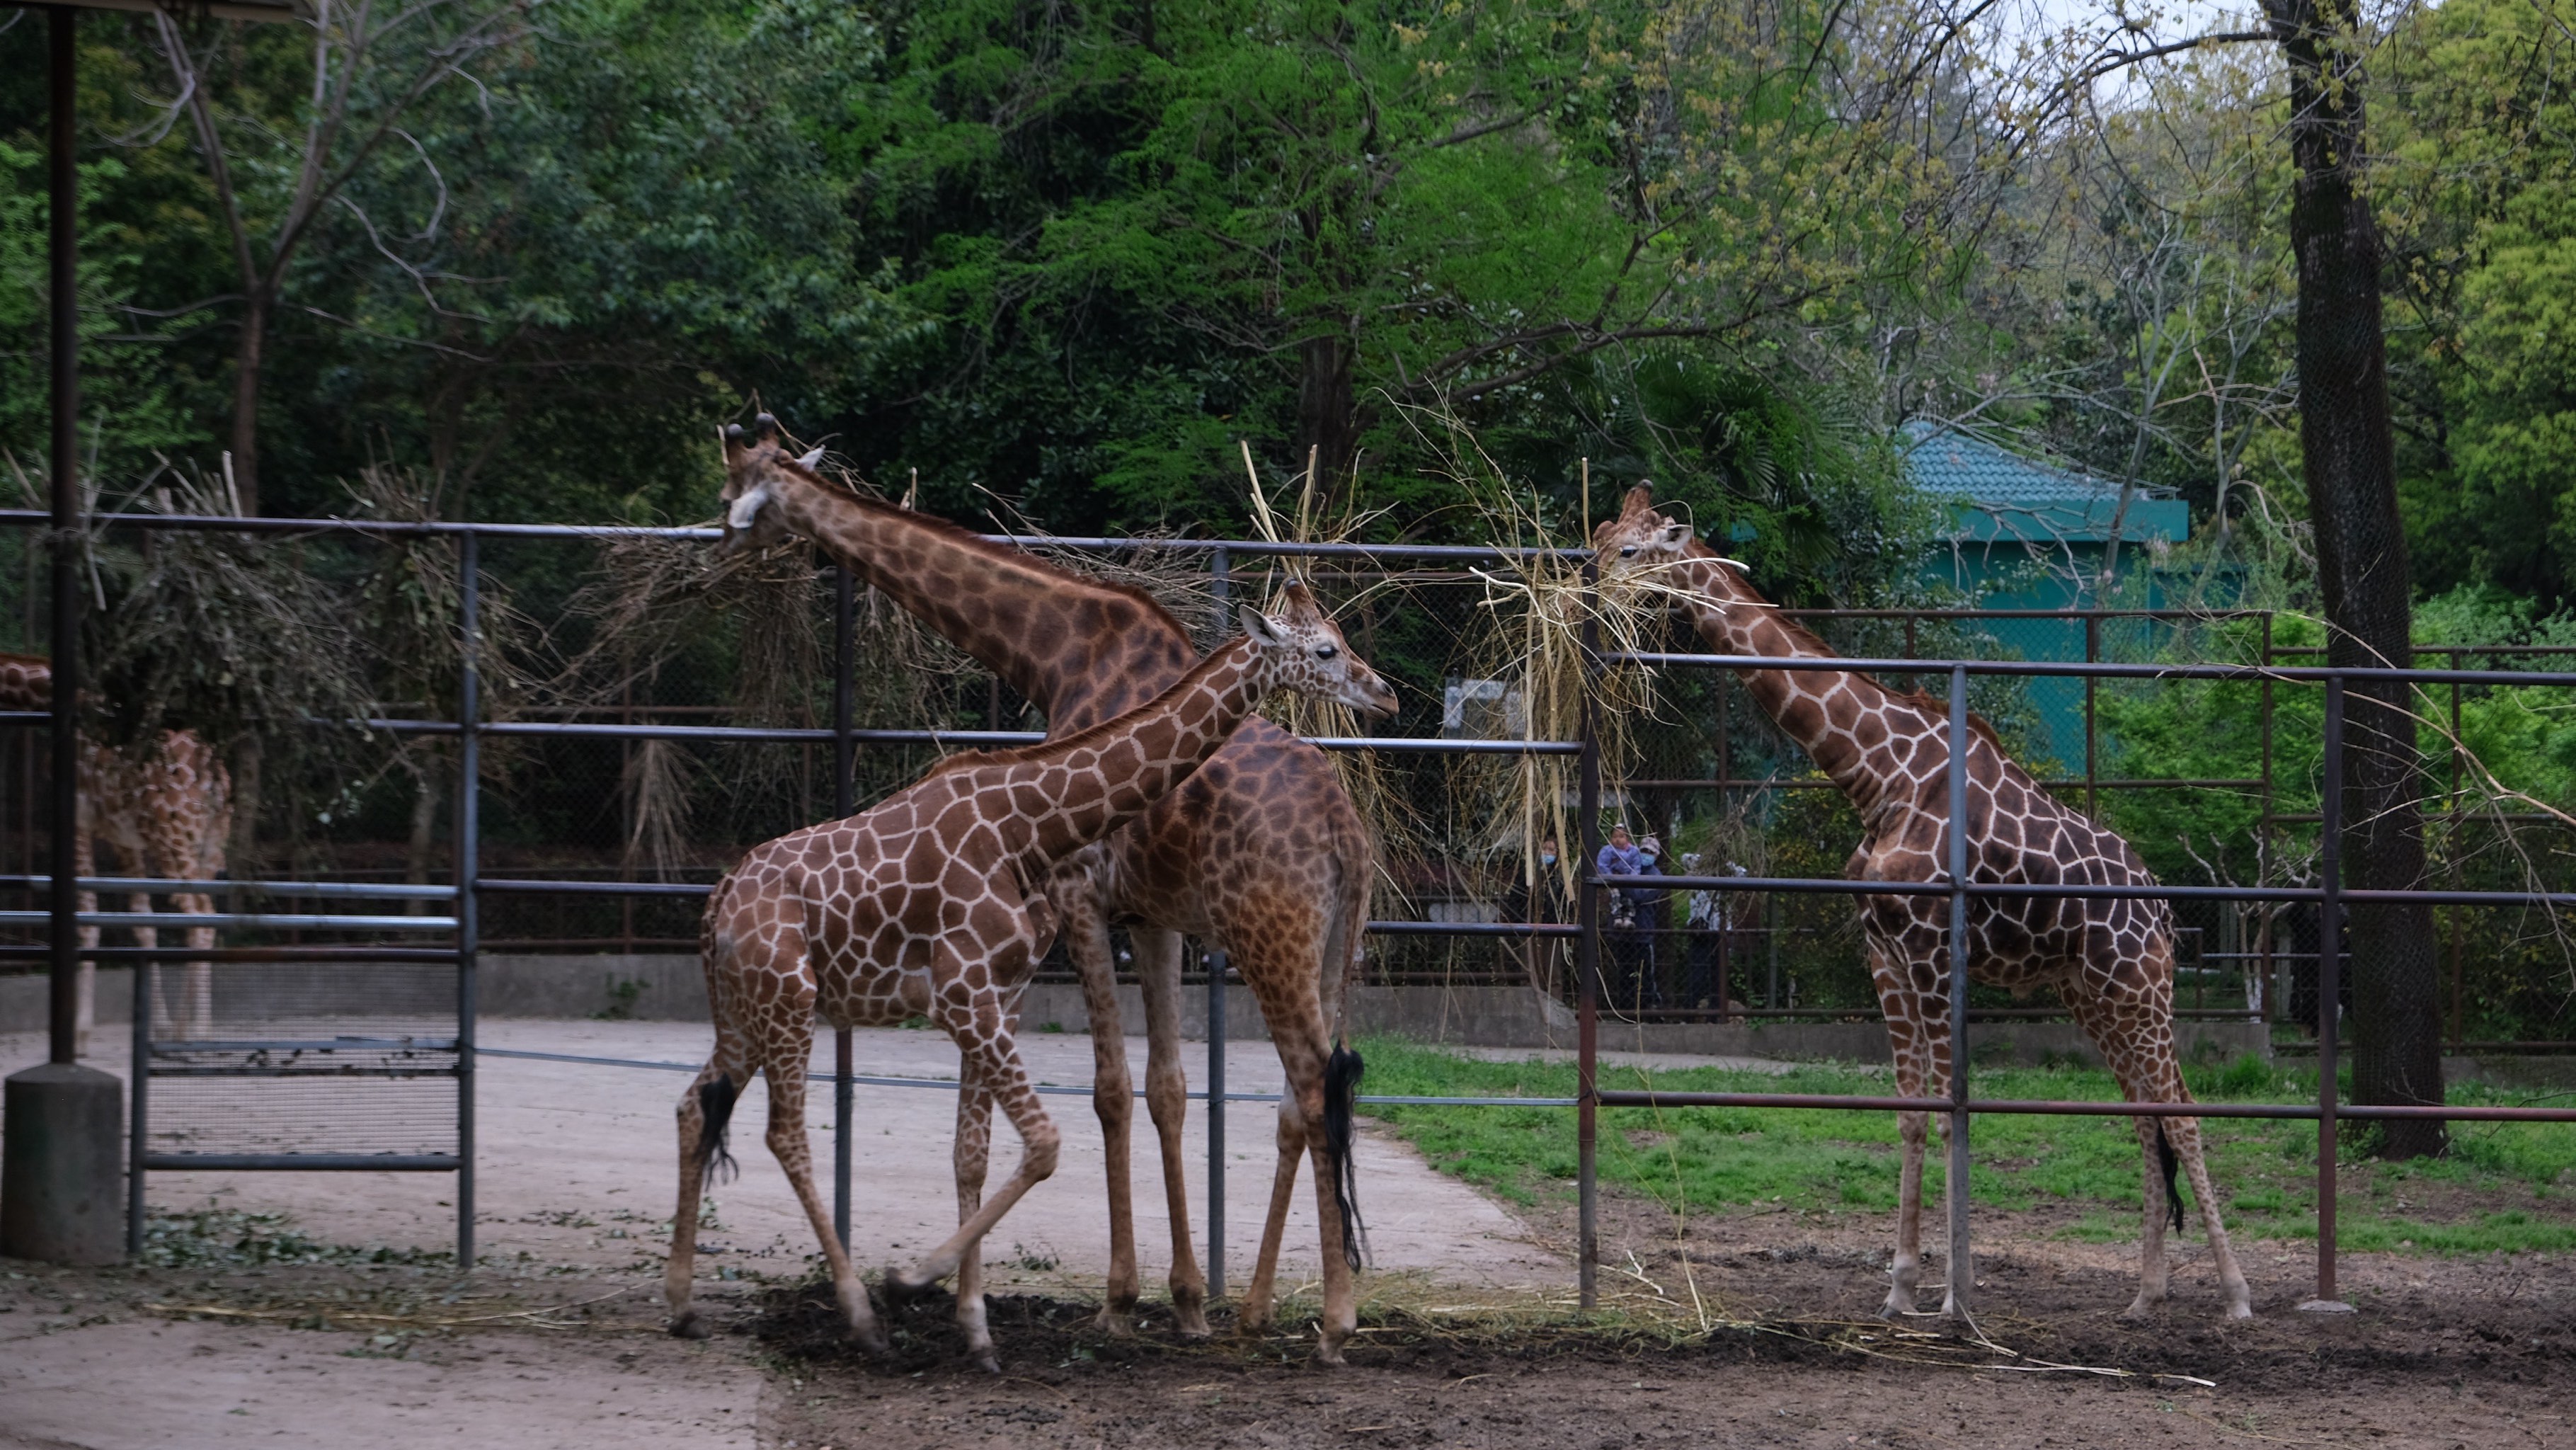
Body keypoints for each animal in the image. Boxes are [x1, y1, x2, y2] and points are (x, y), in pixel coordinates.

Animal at [0, 659, 233, 1056]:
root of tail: (215, 775)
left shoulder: (78, 818)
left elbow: (88, 916)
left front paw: (79, 1033)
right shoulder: (124, 837)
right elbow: (142, 921)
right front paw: (157, 1026)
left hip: (171, 838)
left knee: (201, 916)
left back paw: (197, 1032)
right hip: (208, 842)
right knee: (204, 917)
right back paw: (188, 1030)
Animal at [711, 419, 1391, 1349]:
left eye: (735, 498)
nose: (715, 554)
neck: (1053, 652)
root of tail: (1347, 833)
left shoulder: (1080, 897)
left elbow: (1109, 1090)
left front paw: (1118, 1299)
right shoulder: (1151, 914)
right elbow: (1167, 1088)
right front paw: (1186, 1302)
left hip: (1271, 941)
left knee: (1316, 1083)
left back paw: (1335, 1314)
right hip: (1334, 947)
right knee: (1306, 1096)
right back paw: (1261, 1305)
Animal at [1597, 491, 2246, 1329]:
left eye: (1633, 551)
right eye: (1599, 537)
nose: (1584, 592)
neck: (1876, 773)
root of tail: (2164, 911)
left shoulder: (1937, 950)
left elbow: (1947, 1111)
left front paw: (1952, 1297)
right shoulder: (1885, 952)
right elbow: (1906, 1110)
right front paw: (1900, 1284)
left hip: (2140, 985)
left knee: (2185, 1113)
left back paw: (2235, 1295)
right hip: (2091, 992)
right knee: (2145, 1115)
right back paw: (2145, 1294)